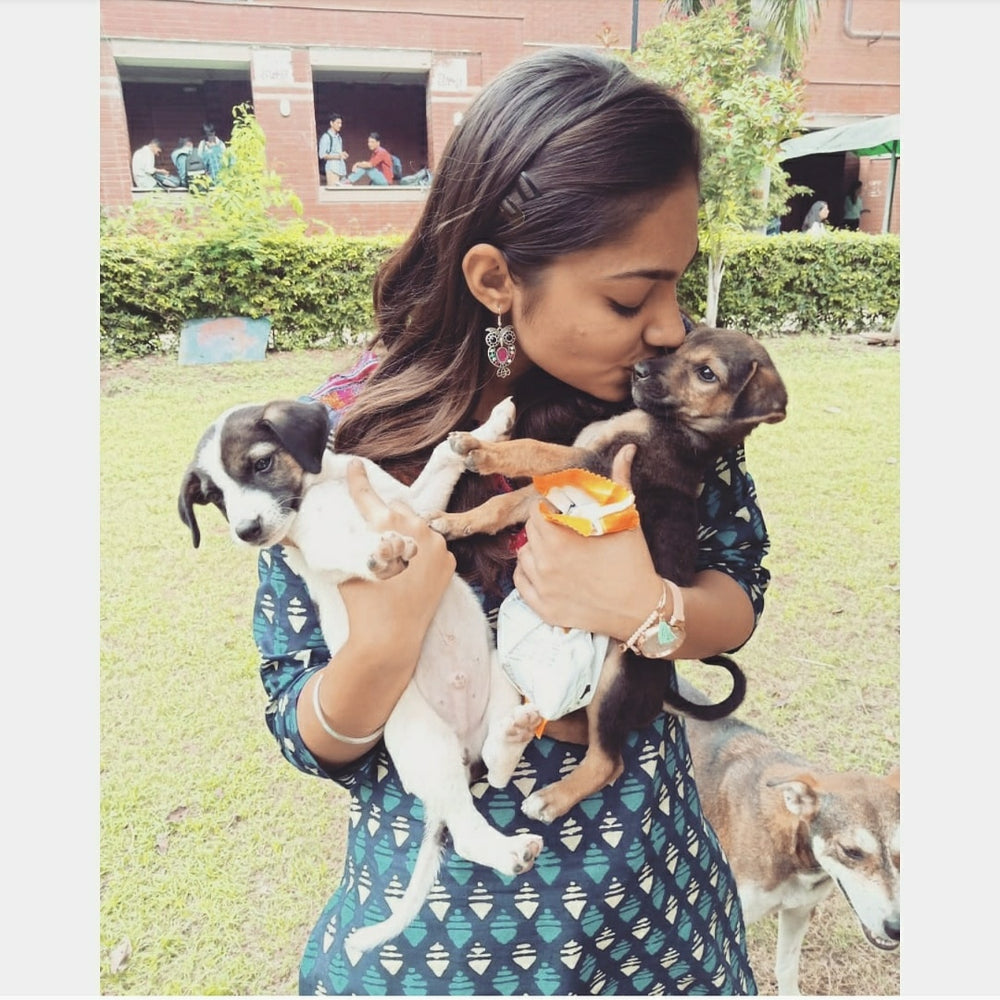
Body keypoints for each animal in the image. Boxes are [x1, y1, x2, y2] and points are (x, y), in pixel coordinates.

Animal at [176, 398, 544, 952]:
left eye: (261, 463)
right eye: (216, 498)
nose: (247, 532)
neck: (322, 489)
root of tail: (463, 745)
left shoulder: (415, 508)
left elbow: (442, 461)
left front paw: (486, 431)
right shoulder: (318, 547)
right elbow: (345, 550)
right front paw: (376, 553)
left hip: (499, 678)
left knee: (499, 766)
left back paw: (513, 733)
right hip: (426, 743)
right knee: (465, 827)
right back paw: (507, 851)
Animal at [430, 328, 788, 820]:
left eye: (706, 373)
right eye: (680, 346)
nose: (639, 369)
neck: (678, 430)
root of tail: (660, 694)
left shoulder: (589, 463)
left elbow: (535, 450)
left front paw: (480, 450)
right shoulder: (553, 488)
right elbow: (499, 506)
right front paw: (454, 523)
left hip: (616, 675)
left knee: (608, 759)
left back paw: (550, 798)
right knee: (580, 731)